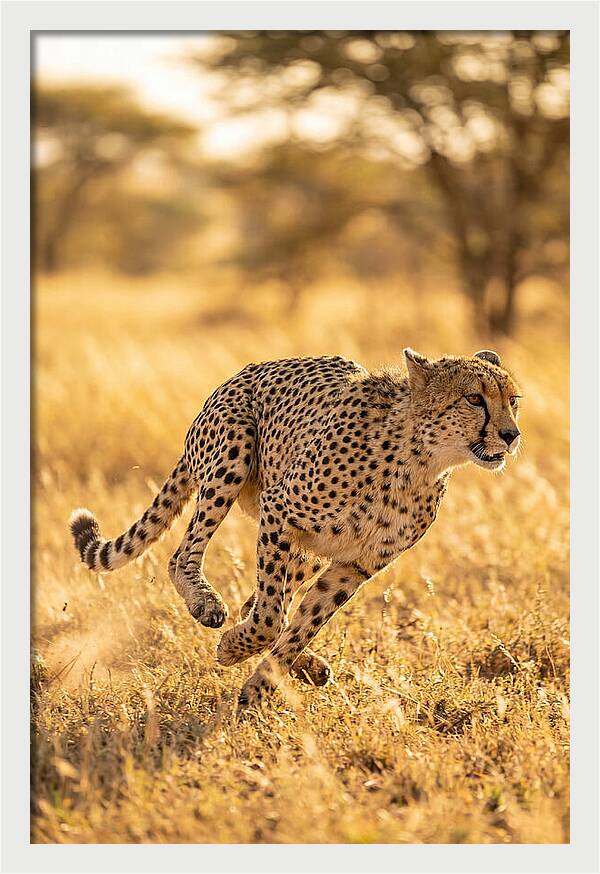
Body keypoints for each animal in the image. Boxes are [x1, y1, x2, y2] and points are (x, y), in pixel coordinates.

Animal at [70, 347, 521, 714]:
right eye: (474, 398)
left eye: (512, 401)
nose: (511, 434)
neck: (419, 460)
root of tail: (242, 372)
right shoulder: (279, 511)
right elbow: (270, 618)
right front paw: (233, 650)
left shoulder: (354, 565)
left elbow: (301, 624)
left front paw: (259, 687)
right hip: (233, 454)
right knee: (184, 556)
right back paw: (206, 603)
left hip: (308, 551)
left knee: (259, 601)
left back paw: (308, 667)